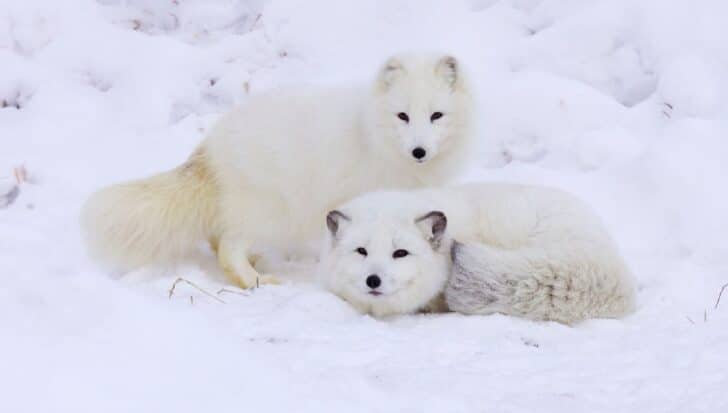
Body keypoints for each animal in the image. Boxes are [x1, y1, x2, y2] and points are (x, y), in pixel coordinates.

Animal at [81, 53, 478, 288]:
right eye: (403, 116)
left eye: (437, 115)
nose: (419, 151)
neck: (374, 134)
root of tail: (211, 145)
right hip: (271, 211)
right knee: (228, 247)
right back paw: (255, 280)